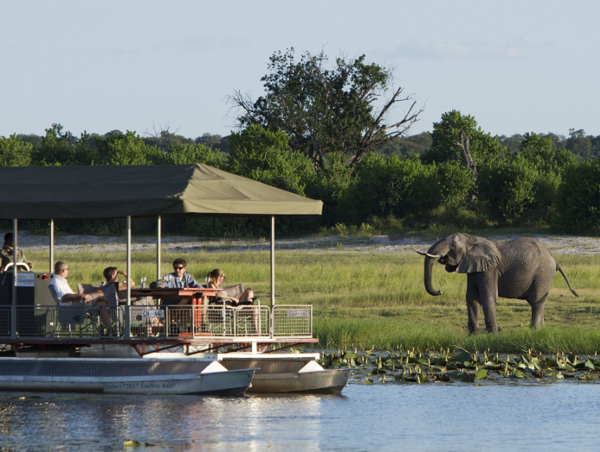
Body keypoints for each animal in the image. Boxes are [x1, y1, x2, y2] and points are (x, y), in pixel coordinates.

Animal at [414, 233, 580, 332]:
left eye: (453, 246)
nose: (439, 291)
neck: (472, 239)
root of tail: (554, 259)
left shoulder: (490, 270)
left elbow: (488, 296)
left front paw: (493, 333)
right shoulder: (473, 268)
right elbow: (471, 298)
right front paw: (473, 333)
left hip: (543, 274)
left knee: (536, 302)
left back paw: (533, 329)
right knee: (540, 303)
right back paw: (541, 329)